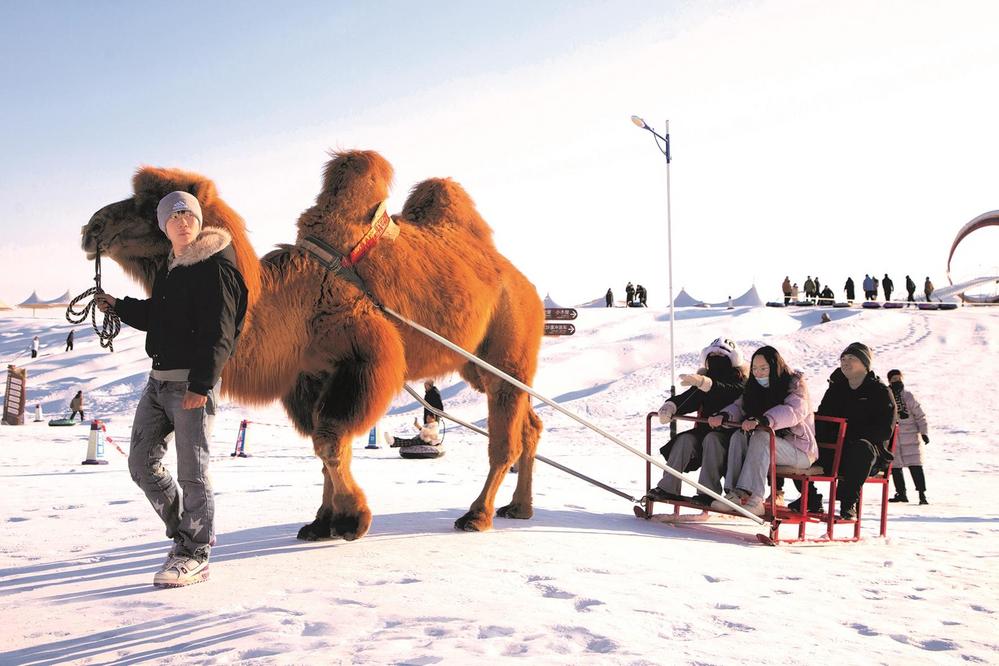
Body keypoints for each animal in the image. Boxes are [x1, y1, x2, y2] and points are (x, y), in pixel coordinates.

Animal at [80, 150, 544, 540]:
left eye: (150, 206)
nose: (91, 228)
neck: (288, 297)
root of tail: (527, 287)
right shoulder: (311, 374)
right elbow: (324, 449)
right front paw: (323, 523)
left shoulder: (365, 358)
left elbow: (330, 440)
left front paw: (354, 519)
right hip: (477, 365)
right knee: (531, 425)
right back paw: (519, 508)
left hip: (507, 351)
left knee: (505, 438)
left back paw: (477, 515)